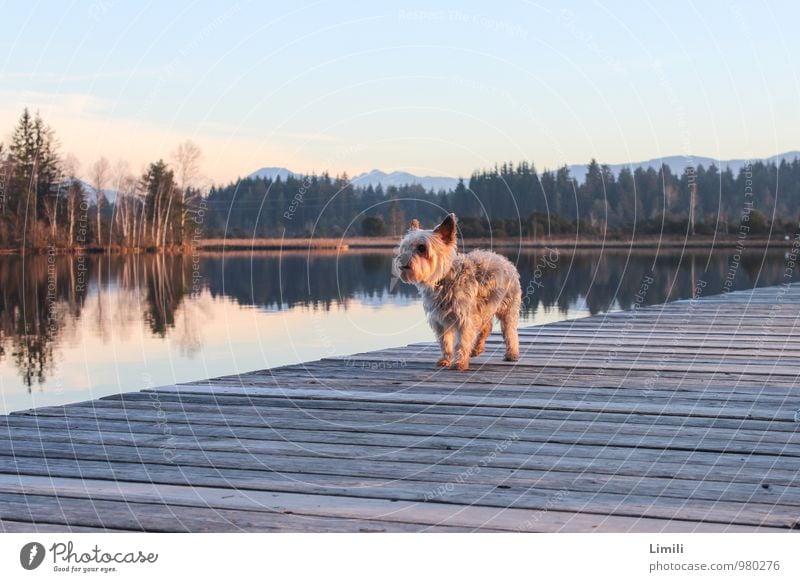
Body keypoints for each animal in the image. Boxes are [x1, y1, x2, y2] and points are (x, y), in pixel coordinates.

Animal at [392, 212, 520, 372]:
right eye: (405, 248)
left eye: (422, 248)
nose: (402, 260)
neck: (443, 278)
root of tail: (505, 260)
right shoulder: (439, 320)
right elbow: (445, 342)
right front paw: (445, 359)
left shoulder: (464, 318)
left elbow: (462, 341)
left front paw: (459, 363)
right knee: (485, 328)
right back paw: (476, 349)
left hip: (507, 308)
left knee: (510, 331)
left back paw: (512, 353)